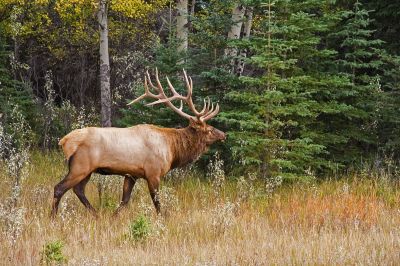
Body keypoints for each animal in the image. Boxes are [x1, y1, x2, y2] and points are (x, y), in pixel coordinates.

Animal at [50, 68, 225, 218]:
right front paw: (163, 219)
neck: (172, 149)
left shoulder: (131, 174)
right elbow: (157, 202)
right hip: (80, 166)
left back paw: (97, 215)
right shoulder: (153, 172)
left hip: (87, 170)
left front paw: (113, 217)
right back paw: (53, 217)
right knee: (59, 188)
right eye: (209, 130)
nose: (223, 134)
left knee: (78, 190)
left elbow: (124, 200)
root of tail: (64, 141)